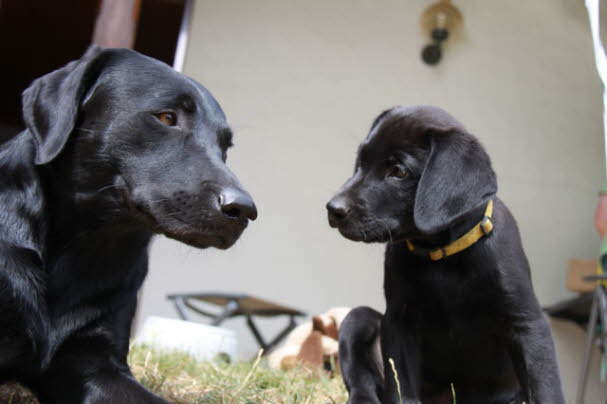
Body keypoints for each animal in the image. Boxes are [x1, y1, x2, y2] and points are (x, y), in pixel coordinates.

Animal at [328, 106, 564, 404]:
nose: (333, 209)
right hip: (357, 320)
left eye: (398, 171)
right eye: (360, 161)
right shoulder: (398, 322)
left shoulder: (527, 323)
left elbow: (545, 385)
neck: (443, 255)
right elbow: (400, 387)